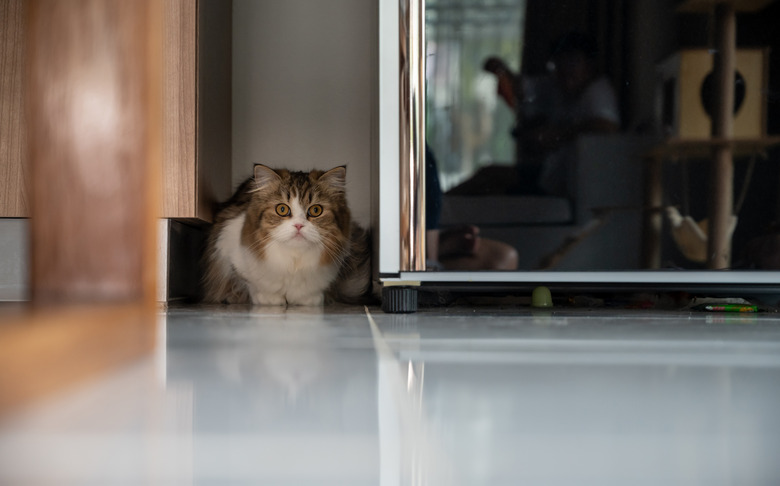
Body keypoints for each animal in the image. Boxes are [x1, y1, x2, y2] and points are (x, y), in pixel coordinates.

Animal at [201, 165, 372, 306]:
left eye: (316, 210)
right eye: (282, 209)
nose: (299, 225)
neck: (294, 261)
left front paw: (310, 300)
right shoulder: (227, 248)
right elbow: (252, 284)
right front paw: (269, 299)